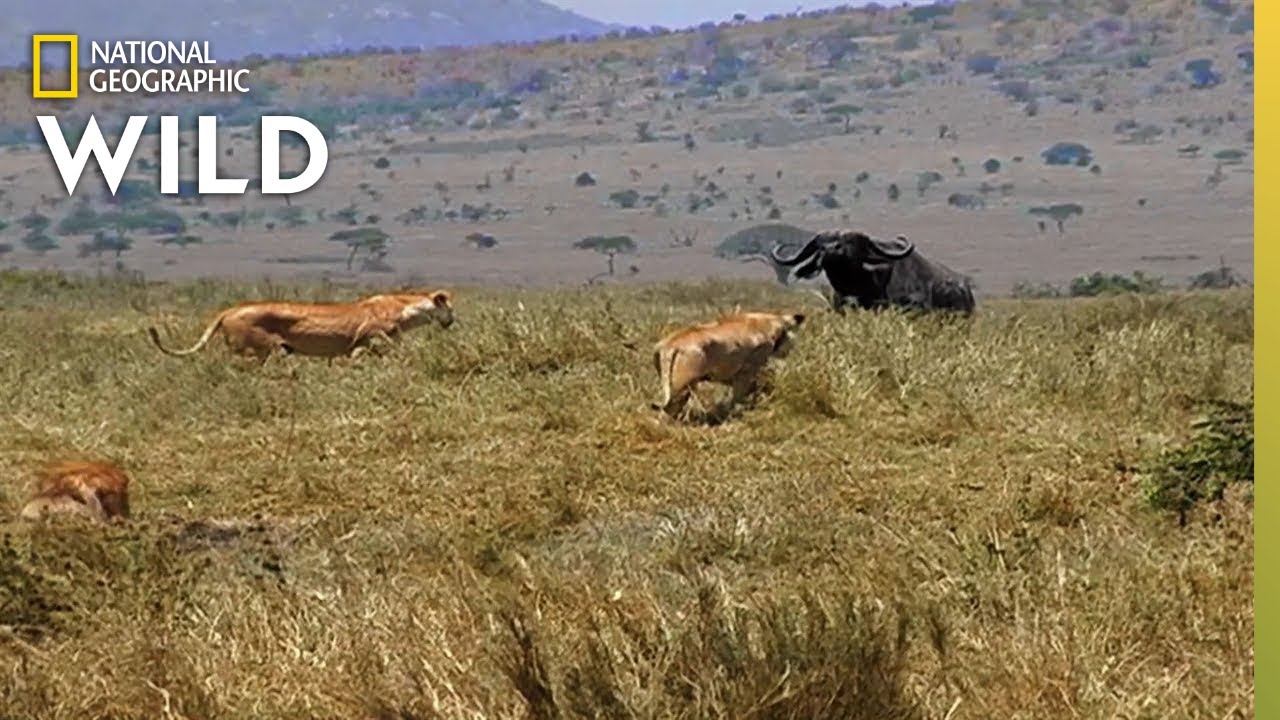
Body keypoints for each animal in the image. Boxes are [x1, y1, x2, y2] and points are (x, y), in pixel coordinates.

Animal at [650, 310, 806, 417]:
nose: (789, 350)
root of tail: (670, 344)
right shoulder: (747, 370)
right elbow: (739, 397)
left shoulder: (732, 374)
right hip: (682, 387)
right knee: (666, 411)